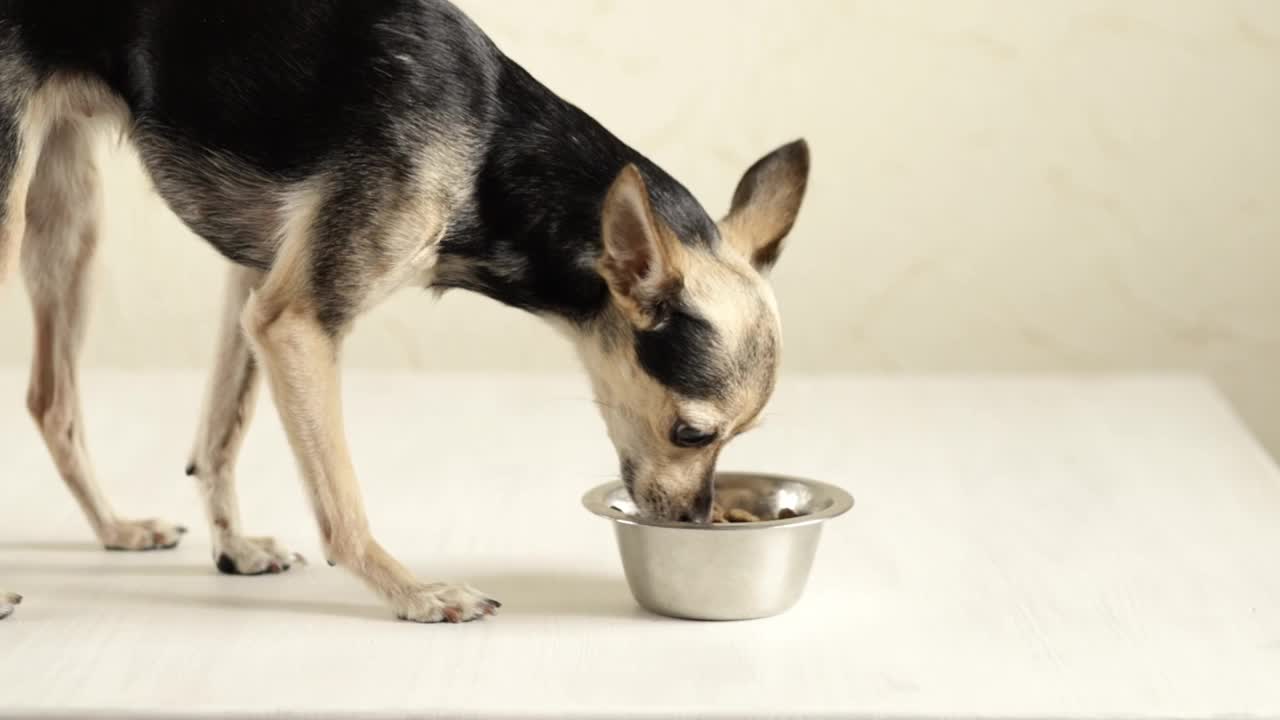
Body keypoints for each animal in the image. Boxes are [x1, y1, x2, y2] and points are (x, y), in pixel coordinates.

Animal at [2, 0, 808, 620]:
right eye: (690, 433)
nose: (696, 522)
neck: (487, 152)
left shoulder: (254, 286)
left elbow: (218, 435)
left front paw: (232, 547)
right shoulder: (294, 323)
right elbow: (341, 500)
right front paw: (413, 592)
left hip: (67, 214)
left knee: (51, 399)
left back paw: (115, 527)